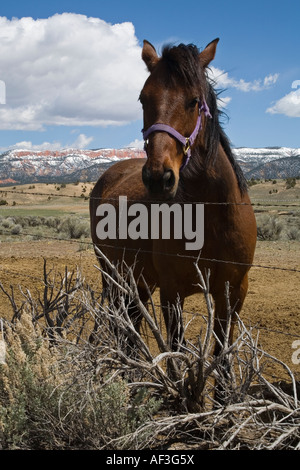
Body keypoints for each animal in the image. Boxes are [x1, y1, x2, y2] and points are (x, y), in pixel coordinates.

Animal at [89, 39, 255, 368]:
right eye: (143, 99)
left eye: (194, 101)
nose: (158, 177)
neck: (211, 220)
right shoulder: (171, 293)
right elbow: (176, 356)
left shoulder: (232, 295)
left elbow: (223, 360)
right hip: (112, 276)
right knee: (120, 327)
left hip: (138, 282)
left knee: (131, 327)